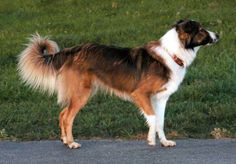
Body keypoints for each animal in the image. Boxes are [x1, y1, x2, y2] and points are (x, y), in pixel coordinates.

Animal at [17, 19, 218, 149]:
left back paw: (65, 140)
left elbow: (160, 121)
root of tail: (72, 50)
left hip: (80, 92)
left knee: (62, 113)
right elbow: (152, 118)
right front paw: (151, 140)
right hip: (83, 93)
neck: (172, 53)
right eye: (201, 30)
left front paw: (163, 141)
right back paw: (72, 143)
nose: (217, 35)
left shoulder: (161, 98)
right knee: (67, 117)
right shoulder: (140, 94)